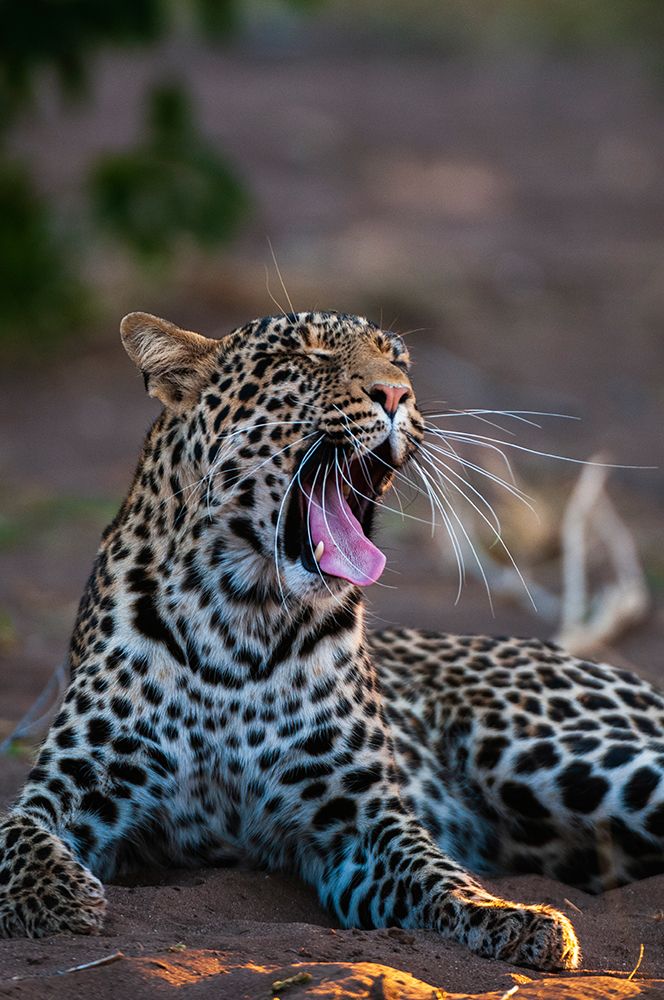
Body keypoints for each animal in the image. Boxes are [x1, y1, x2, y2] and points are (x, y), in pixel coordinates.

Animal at [1, 309, 663, 972]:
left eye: (397, 360)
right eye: (306, 355)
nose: (395, 395)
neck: (241, 621)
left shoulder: (362, 816)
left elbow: (441, 873)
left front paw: (515, 916)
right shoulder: (75, 779)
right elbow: (16, 833)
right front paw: (54, 896)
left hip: (553, 754)